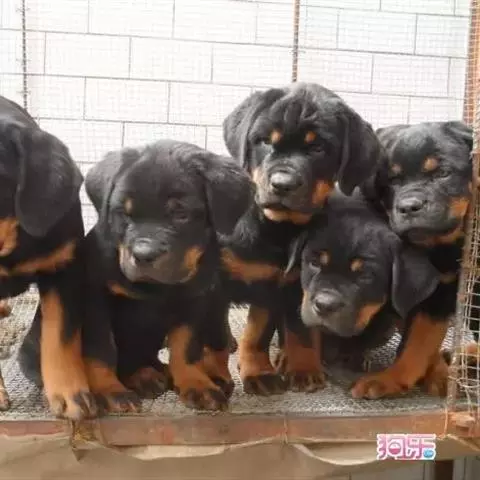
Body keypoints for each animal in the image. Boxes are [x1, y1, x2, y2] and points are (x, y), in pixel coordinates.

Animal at [80, 140, 253, 412]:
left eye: (181, 215)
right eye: (124, 214)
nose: (144, 254)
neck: (157, 288)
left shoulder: (195, 299)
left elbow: (186, 347)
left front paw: (196, 384)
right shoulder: (96, 297)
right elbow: (101, 349)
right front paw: (110, 391)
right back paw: (144, 377)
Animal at [216, 82, 385, 395]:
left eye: (318, 148)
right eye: (264, 142)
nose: (283, 184)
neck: (278, 229)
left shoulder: (288, 285)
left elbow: (278, 331)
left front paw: (297, 369)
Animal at [288, 191, 443, 395]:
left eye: (366, 275)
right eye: (314, 263)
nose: (324, 305)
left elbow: (421, 337)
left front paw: (441, 373)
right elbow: (302, 330)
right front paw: (304, 369)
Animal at [354, 120, 474, 399]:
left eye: (443, 173)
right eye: (393, 180)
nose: (409, 207)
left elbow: (421, 339)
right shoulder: (428, 294)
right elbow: (418, 341)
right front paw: (390, 379)